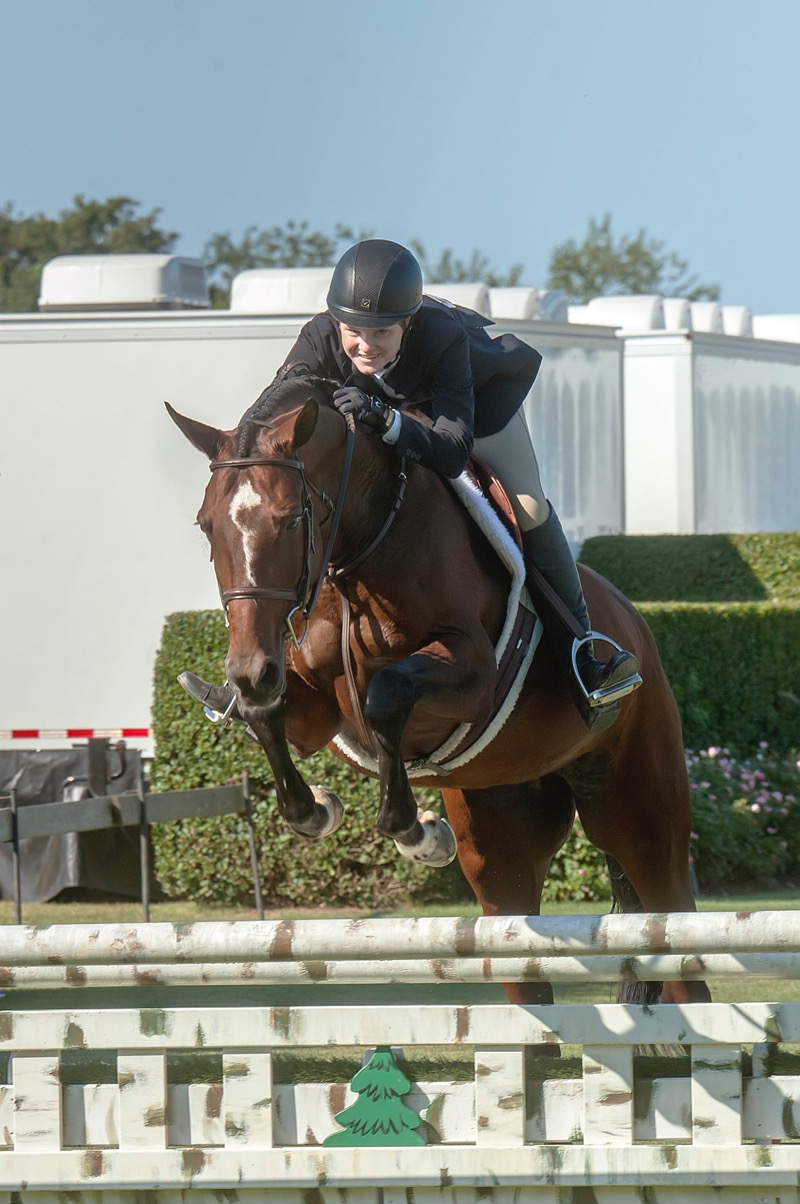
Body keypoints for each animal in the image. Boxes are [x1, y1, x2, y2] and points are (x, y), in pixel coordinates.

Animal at [165, 370, 708, 1011]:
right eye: (206, 524)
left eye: (292, 519)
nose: (249, 668)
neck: (366, 545)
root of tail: (635, 625)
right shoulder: (312, 702)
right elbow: (268, 715)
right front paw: (316, 809)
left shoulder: (472, 676)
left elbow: (388, 695)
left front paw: (417, 834)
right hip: (503, 838)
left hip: (640, 814)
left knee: (675, 934)